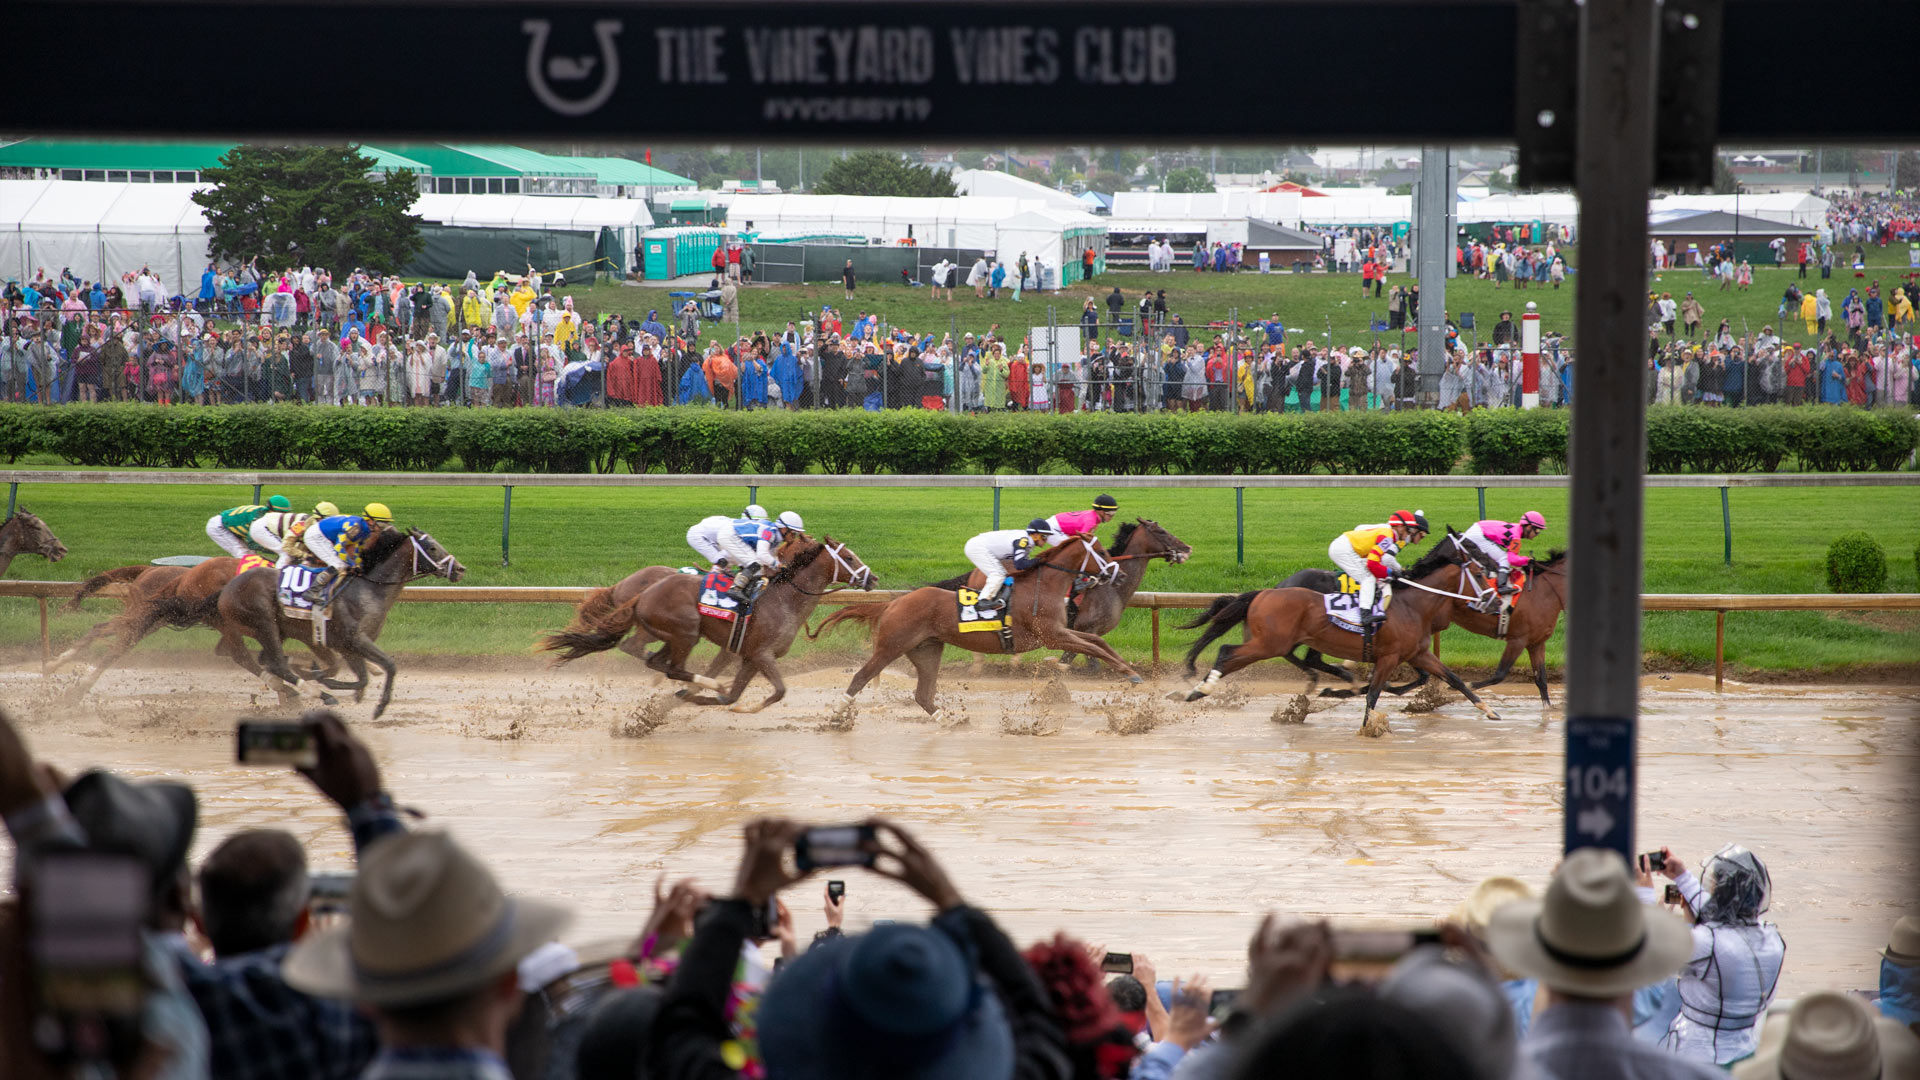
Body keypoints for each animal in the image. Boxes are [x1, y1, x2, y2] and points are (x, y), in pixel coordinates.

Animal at [213, 526, 464, 714]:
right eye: (432, 547)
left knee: (265, 660)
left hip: (275, 630)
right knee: (276, 664)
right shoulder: (355, 639)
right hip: (265, 623)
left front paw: (321, 676)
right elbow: (389, 666)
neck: (368, 590)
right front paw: (380, 707)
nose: (460, 569)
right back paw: (318, 694)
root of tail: (227, 589)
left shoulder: (347, 645)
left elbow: (360, 678)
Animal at [821, 530, 1136, 722]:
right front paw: (1130, 674)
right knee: (861, 676)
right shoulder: (1052, 636)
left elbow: (1098, 643)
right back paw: (836, 713)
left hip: (926, 650)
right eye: (1102, 552)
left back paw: (950, 722)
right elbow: (1093, 647)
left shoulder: (1061, 631)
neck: (1044, 585)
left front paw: (1128, 668)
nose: (1120, 575)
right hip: (891, 646)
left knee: (923, 694)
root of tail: (893, 603)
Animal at [929, 518, 1182, 668]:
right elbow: (1081, 662)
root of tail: (974, 571)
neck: (1111, 589)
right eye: (1161, 531)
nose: (1186, 548)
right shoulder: (1085, 629)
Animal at [1175, 534, 1505, 730]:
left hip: (1276, 640)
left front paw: (1490, 711)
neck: (1412, 602)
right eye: (1477, 568)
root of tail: (1268, 590)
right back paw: (1199, 689)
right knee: (1227, 652)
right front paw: (1364, 723)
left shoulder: (1418, 653)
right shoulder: (1390, 657)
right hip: (1269, 642)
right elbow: (1374, 693)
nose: (1497, 595)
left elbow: (1453, 678)